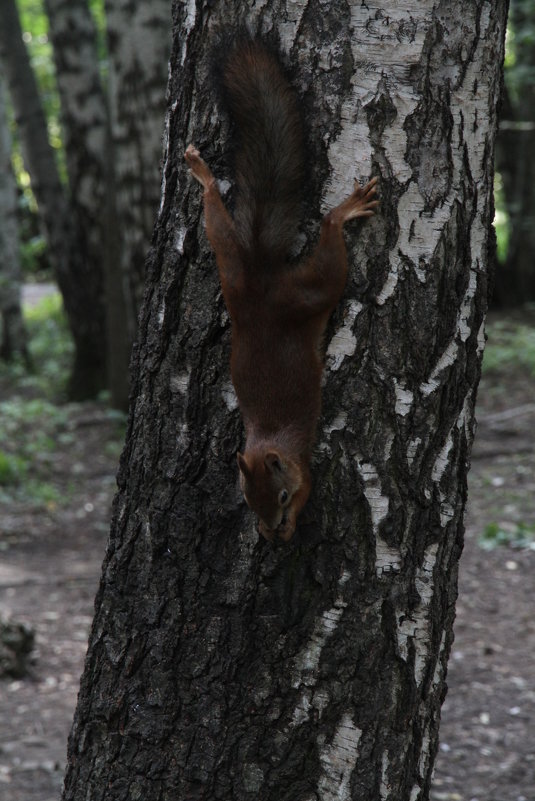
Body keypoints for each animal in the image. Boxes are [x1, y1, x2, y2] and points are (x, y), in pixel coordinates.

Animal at [186, 42, 378, 544]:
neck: (270, 440)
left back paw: (343, 211)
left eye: (284, 496)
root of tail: (260, 279)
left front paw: (288, 531)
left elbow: (310, 486)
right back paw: (203, 175)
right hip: (231, 270)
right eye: (249, 499)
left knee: (328, 246)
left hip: (306, 292)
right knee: (217, 220)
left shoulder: (305, 472)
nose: (272, 529)